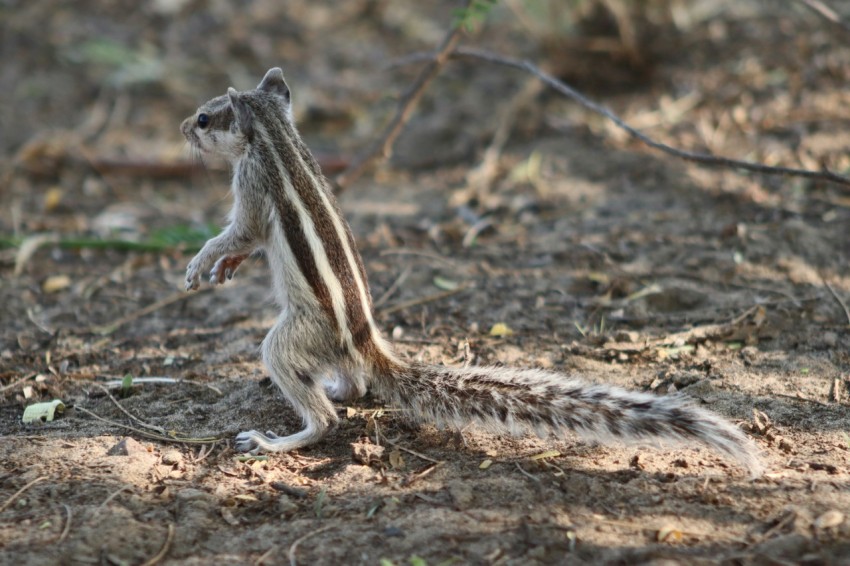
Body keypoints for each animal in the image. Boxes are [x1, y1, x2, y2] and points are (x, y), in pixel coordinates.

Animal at [179, 70, 760, 480]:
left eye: (206, 118)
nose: (184, 128)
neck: (275, 133)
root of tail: (367, 341)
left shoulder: (251, 183)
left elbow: (241, 233)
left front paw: (203, 260)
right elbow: (243, 242)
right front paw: (220, 266)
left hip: (292, 335)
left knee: (324, 416)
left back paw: (277, 440)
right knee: (356, 383)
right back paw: (338, 389)